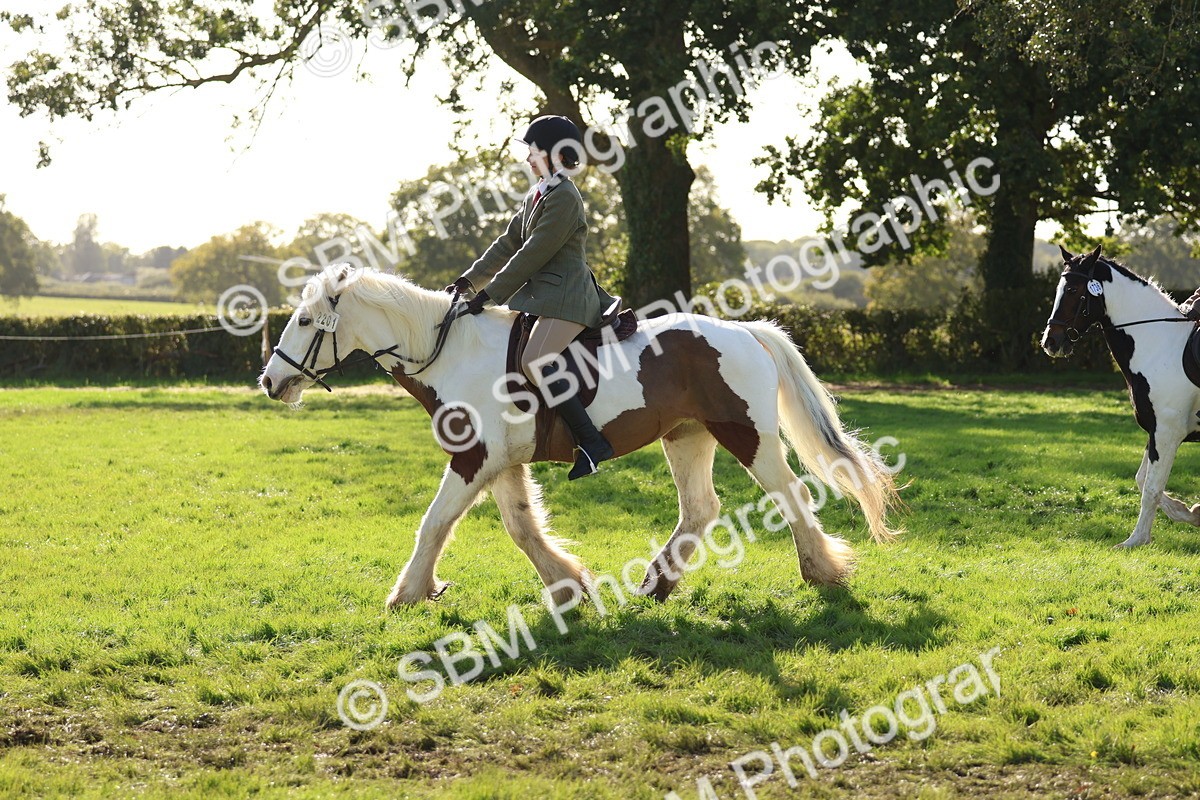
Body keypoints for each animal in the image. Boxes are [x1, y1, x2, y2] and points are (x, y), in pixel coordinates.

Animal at [259, 265, 900, 607]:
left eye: (306, 321)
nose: (270, 380)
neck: (450, 352)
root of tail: (745, 331)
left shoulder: (472, 458)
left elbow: (434, 522)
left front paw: (408, 593)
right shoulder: (499, 462)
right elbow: (520, 526)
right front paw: (567, 586)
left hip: (746, 435)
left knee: (789, 495)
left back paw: (823, 572)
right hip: (687, 436)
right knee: (700, 508)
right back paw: (655, 584)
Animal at [1041, 245, 1200, 547]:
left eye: (1073, 289)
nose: (1050, 342)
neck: (1158, 344)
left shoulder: (1168, 432)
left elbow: (1151, 488)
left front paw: (1136, 540)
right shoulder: (1155, 431)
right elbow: (1142, 480)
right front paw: (1190, 512)